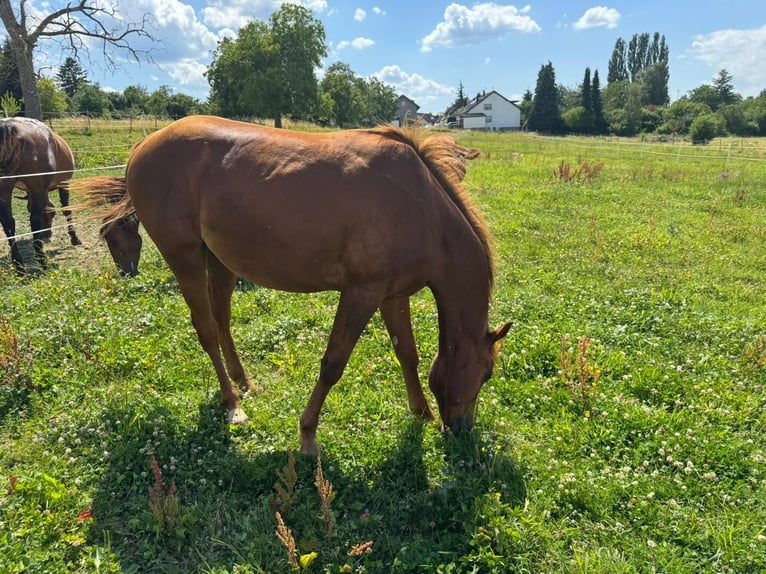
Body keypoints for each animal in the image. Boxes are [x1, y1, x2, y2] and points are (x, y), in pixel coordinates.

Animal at [0, 117, 81, 272]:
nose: (47, 232)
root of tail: (9, 127)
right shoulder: (64, 183)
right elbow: (67, 210)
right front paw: (74, 238)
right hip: (38, 189)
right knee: (34, 220)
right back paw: (42, 260)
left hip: (5, 191)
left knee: (8, 223)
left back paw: (18, 263)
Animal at [74, 115, 511, 455]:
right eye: (486, 374)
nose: (461, 430)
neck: (422, 207)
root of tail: (141, 147)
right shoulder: (361, 294)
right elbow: (333, 364)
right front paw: (307, 434)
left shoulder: (392, 295)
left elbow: (408, 354)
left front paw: (422, 412)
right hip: (184, 257)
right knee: (206, 329)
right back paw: (233, 404)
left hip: (219, 261)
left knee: (221, 320)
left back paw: (243, 381)